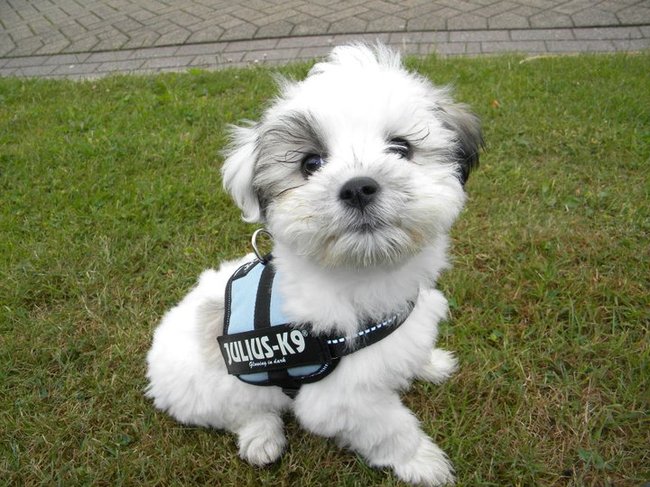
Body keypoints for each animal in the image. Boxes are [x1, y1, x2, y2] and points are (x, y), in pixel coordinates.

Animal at [146, 44, 481, 486]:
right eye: (310, 164)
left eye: (401, 148)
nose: (358, 187)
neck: (364, 277)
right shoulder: (344, 399)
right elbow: (391, 430)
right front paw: (422, 462)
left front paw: (428, 364)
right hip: (212, 389)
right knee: (245, 412)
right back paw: (262, 439)